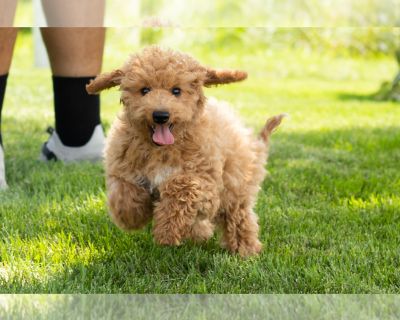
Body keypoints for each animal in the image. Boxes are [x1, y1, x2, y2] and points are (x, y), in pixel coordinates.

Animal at [86, 47, 284, 258]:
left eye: (176, 91)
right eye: (144, 90)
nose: (161, 115)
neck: (160, 149)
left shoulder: (207, 185)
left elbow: (182, 187)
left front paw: (167, 232)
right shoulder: (123, 168)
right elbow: (124, 193)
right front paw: (132, 217)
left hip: (234, 188)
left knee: (238, 217)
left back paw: (245, 250)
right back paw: (200, 235)